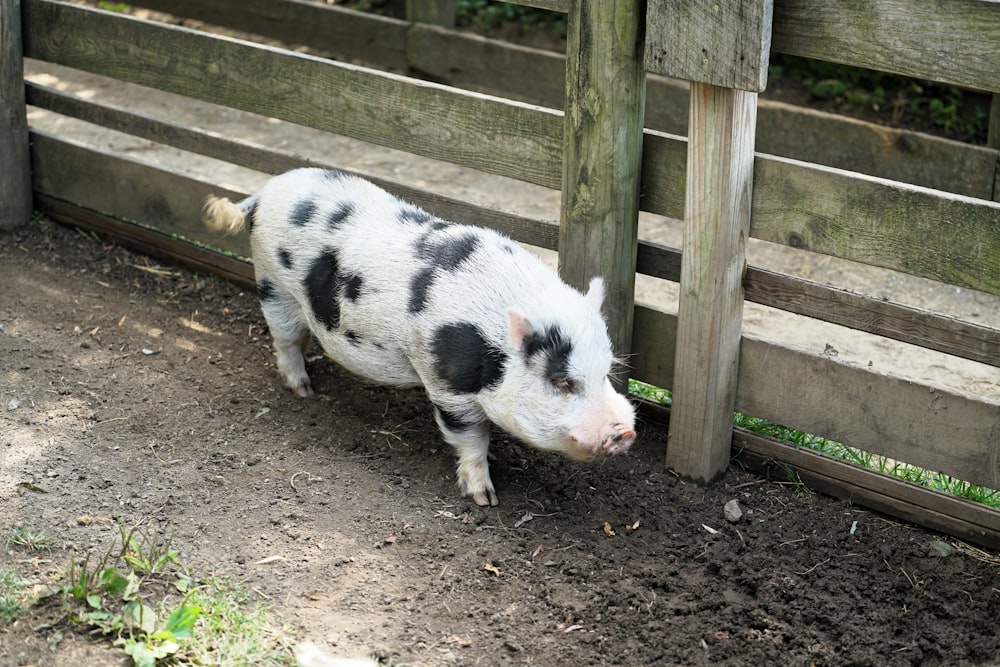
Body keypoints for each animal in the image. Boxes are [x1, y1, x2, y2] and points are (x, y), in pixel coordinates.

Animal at [204, 168, 636, 506]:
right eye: (561, 382)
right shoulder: (448, 388)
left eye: (604, 373)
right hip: (273, 284)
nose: (626, 432)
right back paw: (304, 390)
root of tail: (264, 192)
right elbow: (472, 437)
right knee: (286, 340)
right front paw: (484, 498)